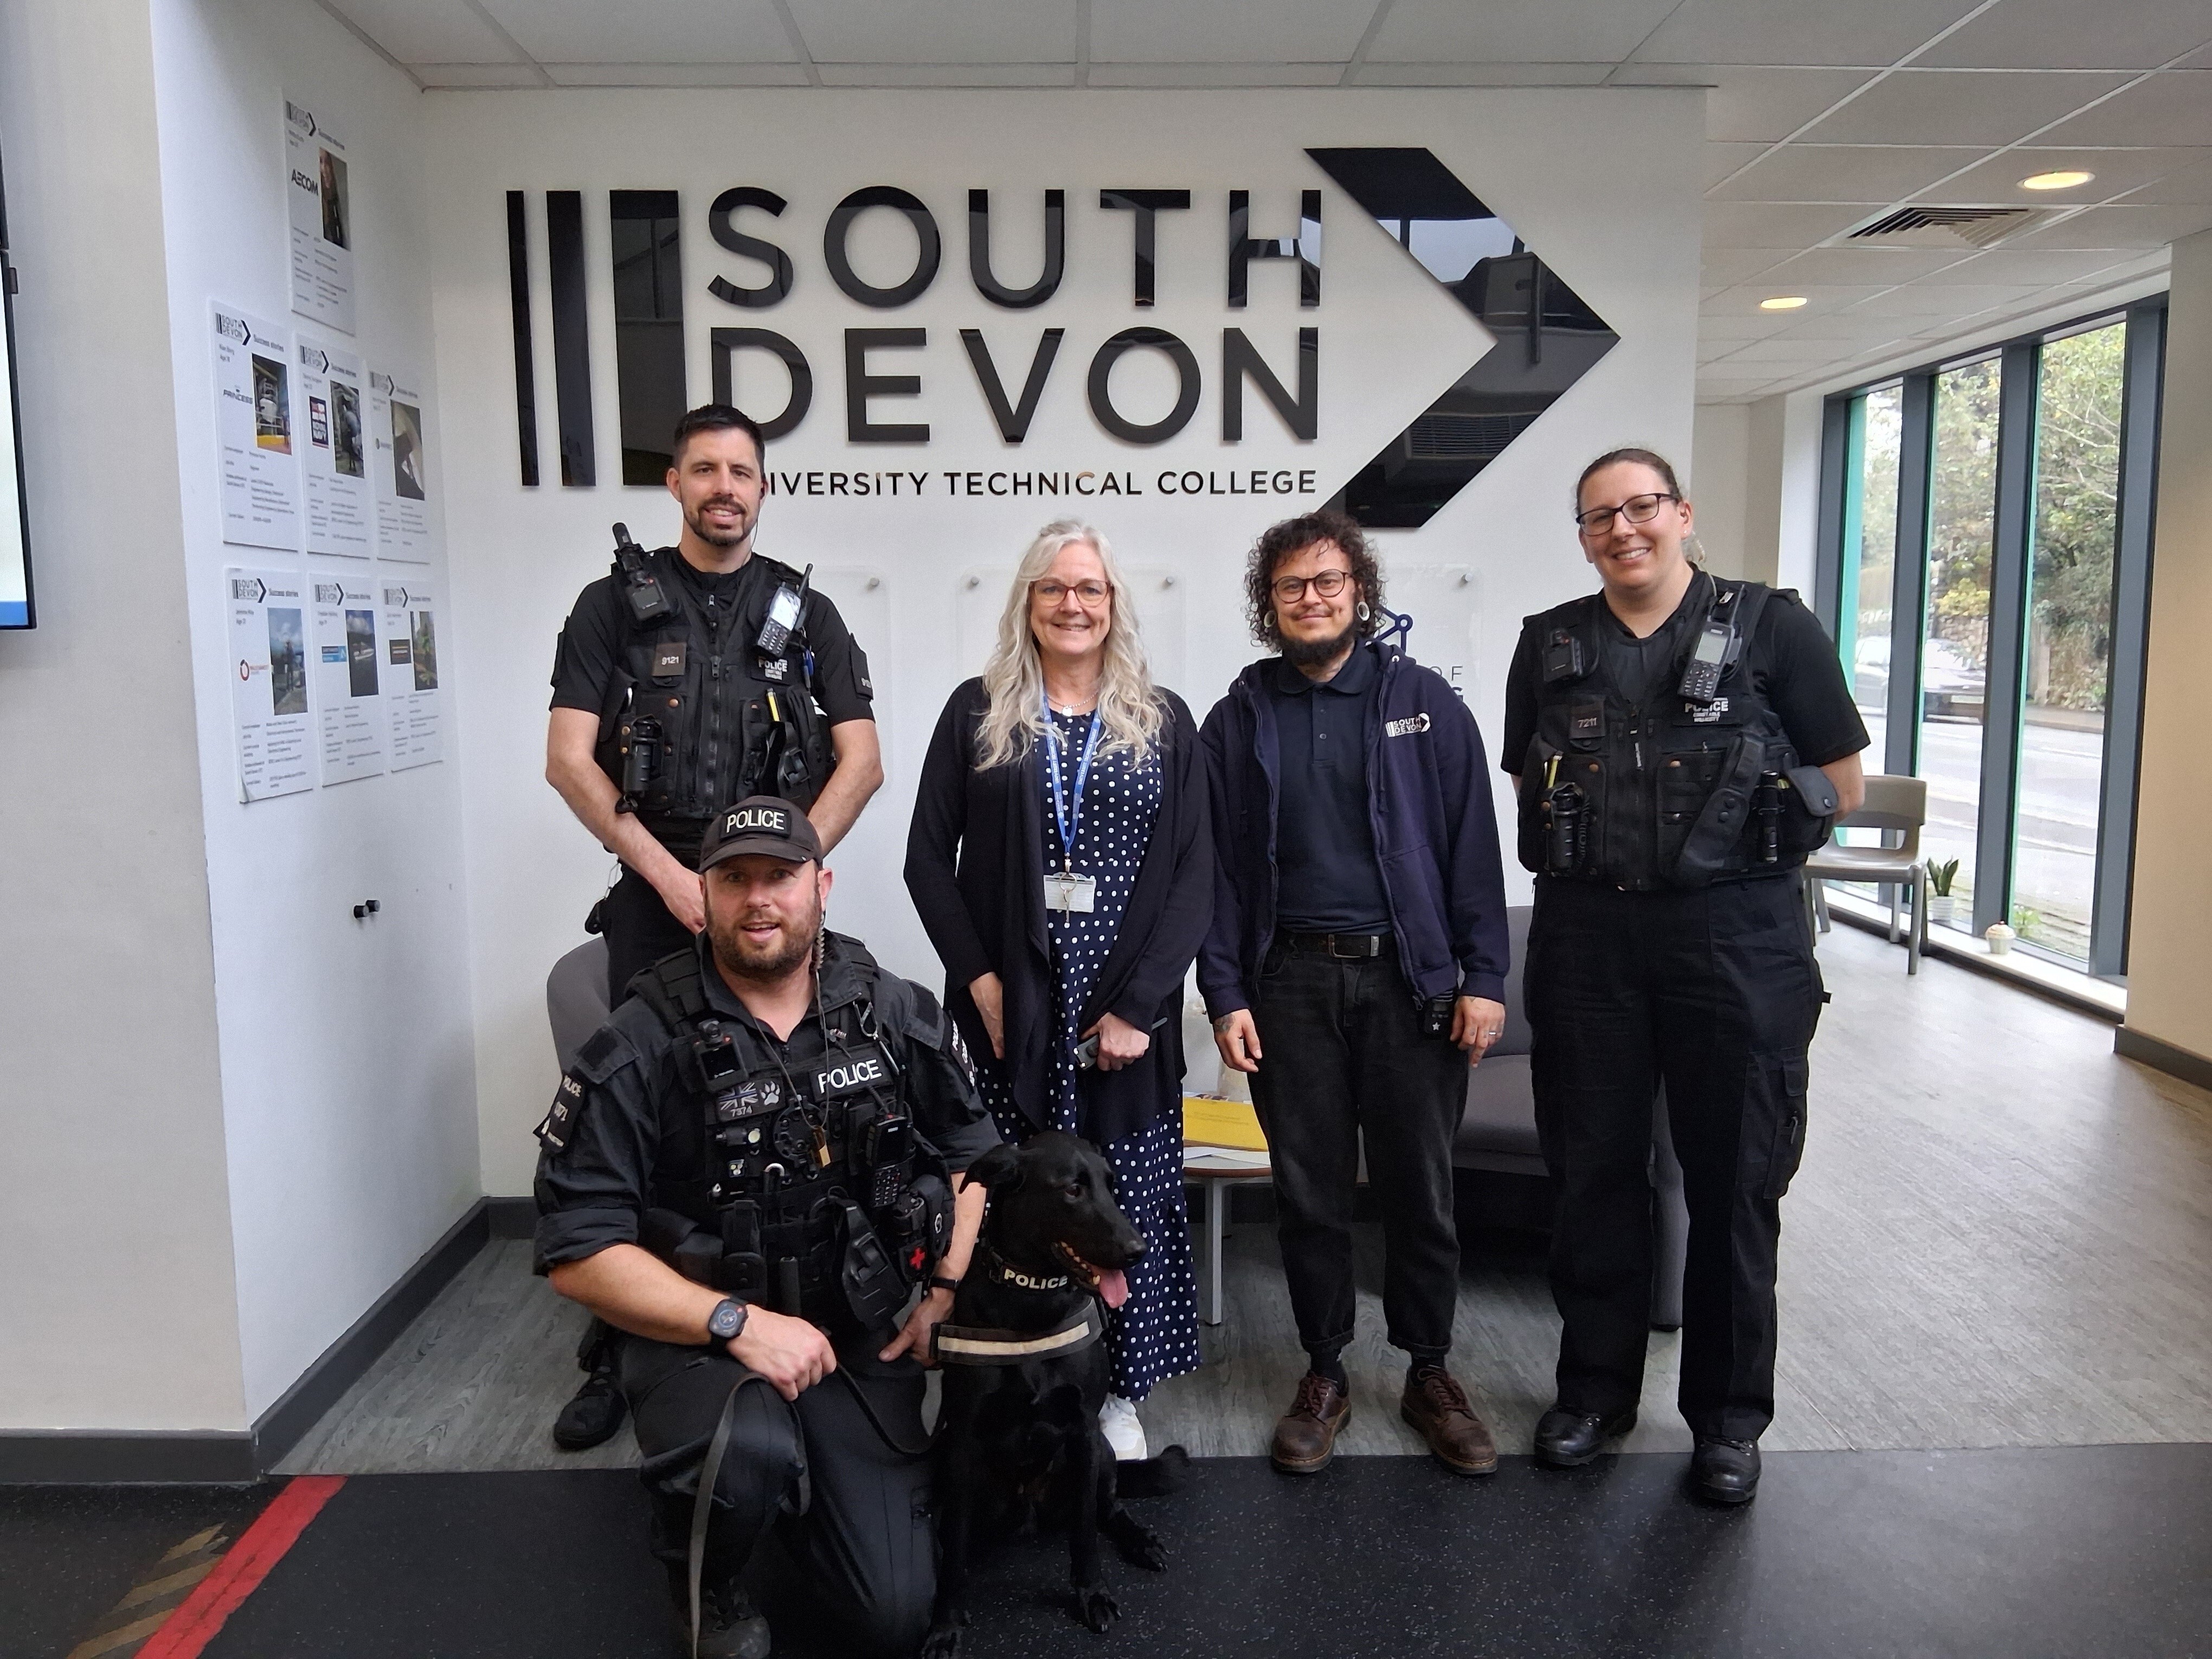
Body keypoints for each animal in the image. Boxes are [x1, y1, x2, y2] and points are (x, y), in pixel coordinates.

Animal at [924, 1131, 1189, 1655]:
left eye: (1111, 1185)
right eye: (1072, 1190)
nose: (1138, 1251)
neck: (1033, 1296)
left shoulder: (1084, 1433)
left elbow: (1085, 1531)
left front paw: (1092, 1594)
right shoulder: (961, 1443)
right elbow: (954, 1547)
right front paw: (945, 1621)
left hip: (1102, 1454)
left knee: (1110, 1508)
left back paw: (1140, 1540)